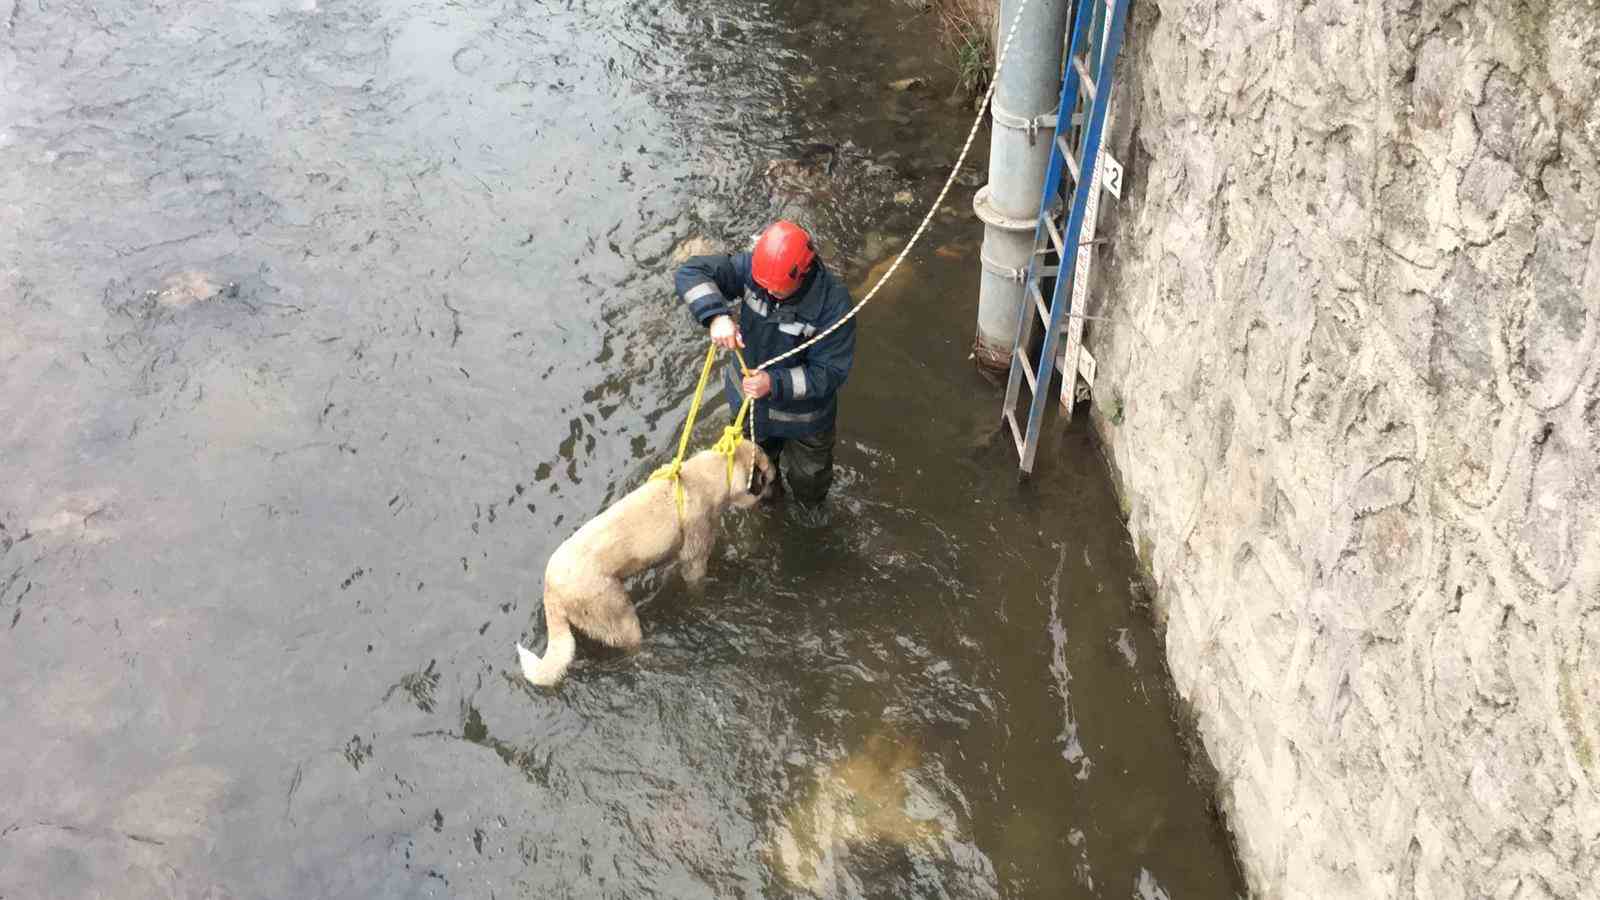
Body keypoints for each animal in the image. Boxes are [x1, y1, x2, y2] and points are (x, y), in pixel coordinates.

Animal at [515, 438, 777, 682]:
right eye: (767, 474)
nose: (777, 474)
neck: (706, 476)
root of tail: (551, 588)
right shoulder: (694, 559)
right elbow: (697, 584)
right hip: (620, 617)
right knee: (632, 645)